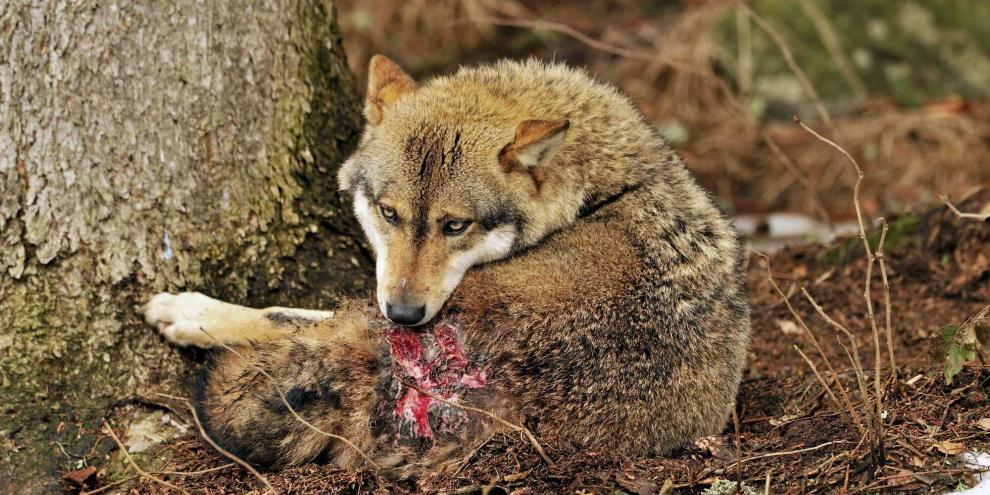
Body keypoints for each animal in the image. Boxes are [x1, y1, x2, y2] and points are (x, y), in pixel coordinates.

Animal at [142, 55, 750, 473]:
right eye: (389, 212)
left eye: (455, 226)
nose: (405, 315)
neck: (596, 189)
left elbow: (278, 312)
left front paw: (185, 311)